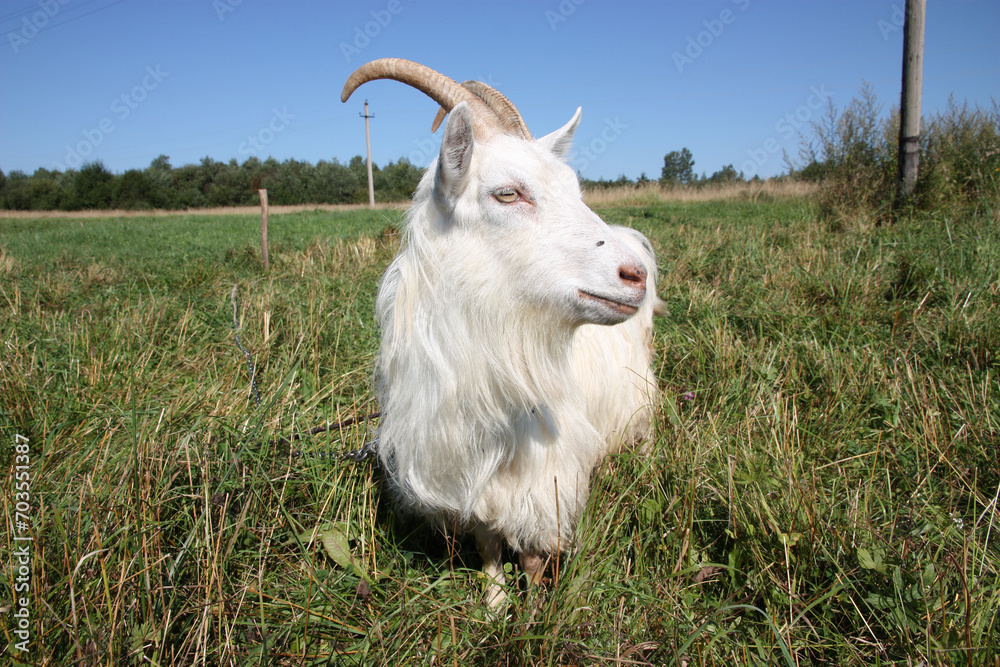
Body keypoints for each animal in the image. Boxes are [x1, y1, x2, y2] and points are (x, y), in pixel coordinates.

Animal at [341, 59, 662, 607]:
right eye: (507, 192)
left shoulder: (546, 479)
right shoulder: (464, 481)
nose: (633, 275)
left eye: (576, 190)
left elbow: (532, 555)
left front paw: (533, 610)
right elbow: (488, 542)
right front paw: (493, 605)